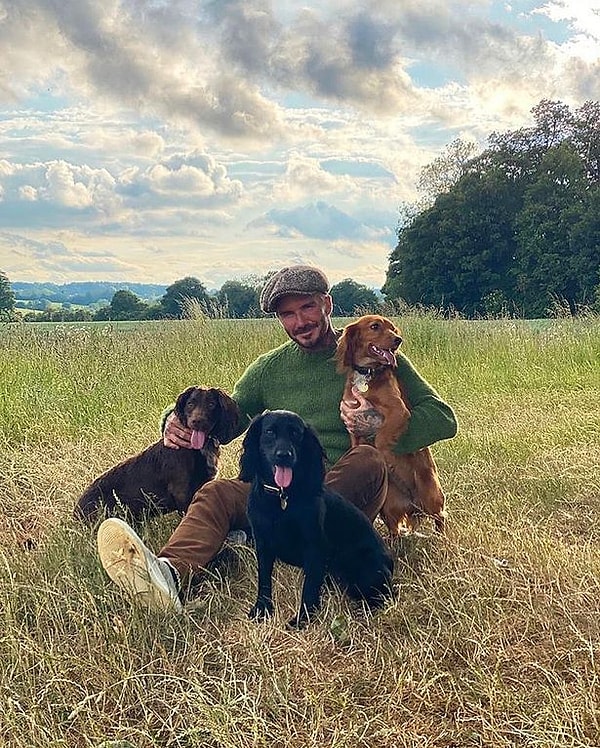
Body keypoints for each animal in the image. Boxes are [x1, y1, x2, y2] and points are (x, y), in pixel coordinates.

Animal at [76, 386, 240, 524]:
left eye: (211, 404)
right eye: (190, 404)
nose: (196, 421)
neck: (199, 448)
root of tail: (76, 511)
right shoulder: (182, 492)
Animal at [239, 410, 394, 624]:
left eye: (296, 433)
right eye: (269, 432)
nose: (284, 455)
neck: (282, 499)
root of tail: (391, 563)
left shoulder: (314, 549)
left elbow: (309, 588)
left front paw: (302, 620)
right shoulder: (263, 545)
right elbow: (264, 581)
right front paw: (262, 610)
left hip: (367, 570)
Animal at [338, 312, 446, 536]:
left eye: (393, 329)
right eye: (375, 326)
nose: (398, 340)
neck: (367, 373)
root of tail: (413, 504)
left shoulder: (398, 411)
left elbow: (381, 439)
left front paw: (385, 454)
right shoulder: (352, 422)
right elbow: (357, 445)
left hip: (431, 494)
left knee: (440, 516)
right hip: (389, 504)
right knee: (394, 527)